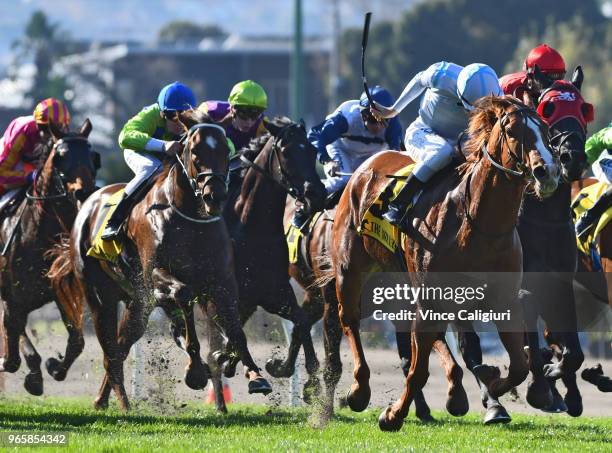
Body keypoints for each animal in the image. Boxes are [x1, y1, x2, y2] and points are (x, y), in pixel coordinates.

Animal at [0, 120, 97, 396]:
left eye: (92, 156)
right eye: (60, 156)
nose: (84, 191)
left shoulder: (58, 289)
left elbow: (76, 341)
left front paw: (54, 367)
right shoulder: (11, 297)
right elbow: (13, 356)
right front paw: (31, 375)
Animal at [47, 110, 268, 410]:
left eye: (226, 149)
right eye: (195, 151)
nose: (215, 195)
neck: (191, 218)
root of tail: (88, 203)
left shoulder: (221, 281)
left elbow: (235, 329)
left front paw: (256, 376)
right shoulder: (155, 276)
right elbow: (184, 295)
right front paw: (195, 370)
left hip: (137, 302)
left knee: (121, 346)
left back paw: (103, 400)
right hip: (99, 296)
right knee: (110, 353)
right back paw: (124, 404)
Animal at [326, 96, 560, 430]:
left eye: (545, 130)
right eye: (513, 131)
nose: (548, 172)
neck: (478, 224)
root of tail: (367, 166)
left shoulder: (503, 299)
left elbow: (518, 365)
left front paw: (496, 387)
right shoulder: (431, 297)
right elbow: (418, 370)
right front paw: (393, 415)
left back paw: (458, 391)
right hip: (350, 269)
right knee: (349, 319)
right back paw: (359, 390)